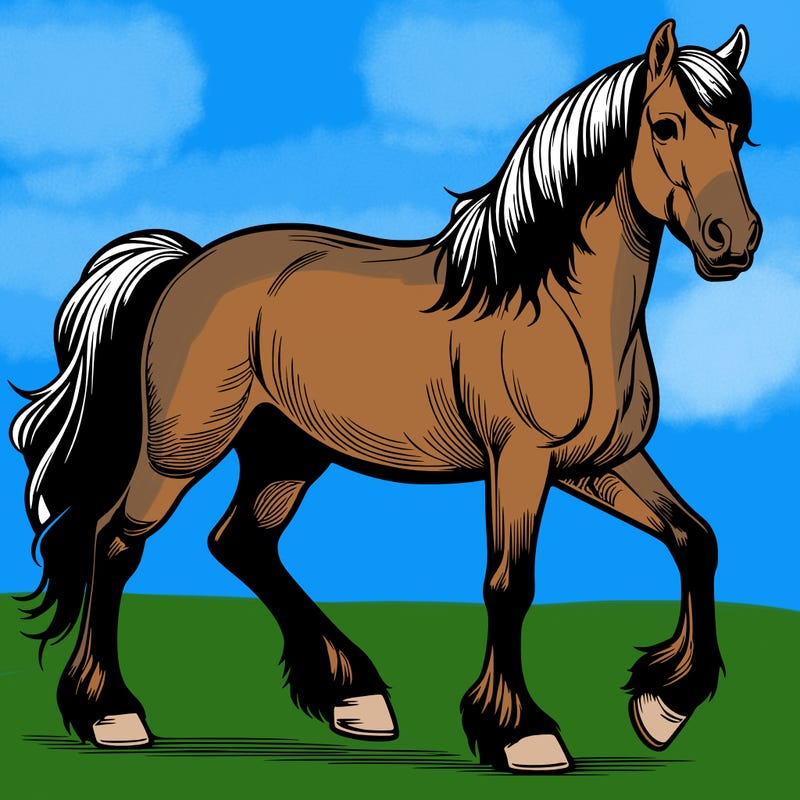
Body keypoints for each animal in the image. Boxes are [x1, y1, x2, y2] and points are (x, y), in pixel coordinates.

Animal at [10, 20, 760, 773]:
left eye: (740, 131)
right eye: (665, 126)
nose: (735, 240)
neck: (556, 307)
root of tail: (187, 264)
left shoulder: (598, 463)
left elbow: (696, 539)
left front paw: (663, 706)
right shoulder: (520, 461)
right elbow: (509, 583)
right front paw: (522, 733)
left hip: (286, 451)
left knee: (242, 542)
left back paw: (355, 697)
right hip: (183, 447)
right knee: (115, 542)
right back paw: (112, 714)